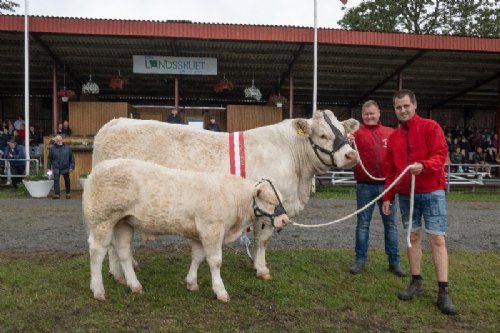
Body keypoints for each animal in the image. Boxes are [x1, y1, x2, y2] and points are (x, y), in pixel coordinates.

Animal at [83, 158, 290, 300]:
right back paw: (98, 290)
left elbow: (198, 257)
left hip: (123, 222)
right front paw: (220, 291)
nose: (285, 220)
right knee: (97, 252)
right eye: (270, 201)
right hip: (102, 220)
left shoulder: (200, 233)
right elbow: (215, 261)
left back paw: (135, 285)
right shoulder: (212, 229)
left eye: (281, 199)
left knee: (124, 252)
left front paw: (191, 282)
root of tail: (99, 168)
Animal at [93, 109, 360, 280]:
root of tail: (115, 122)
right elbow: (263, 239)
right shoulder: (268, 204)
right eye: (323, 135)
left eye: (343, 131)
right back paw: (117, 273)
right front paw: (261, 269)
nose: (350, 155)